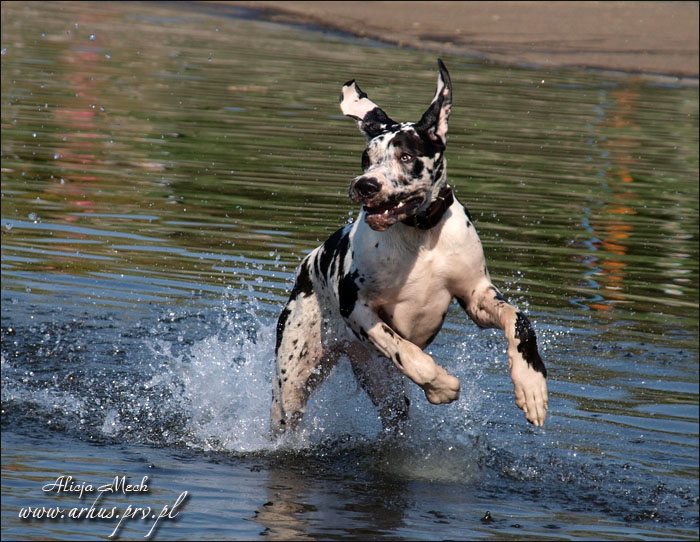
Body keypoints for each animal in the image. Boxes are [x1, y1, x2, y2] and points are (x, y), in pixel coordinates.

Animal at [271, 60, 548, 437]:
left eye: (406, 155)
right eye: (366, 157)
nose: (365, 185)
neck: (420, 238)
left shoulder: (477, 297)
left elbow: (518, 321)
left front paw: (531, 385)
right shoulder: (357, 308)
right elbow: (406, 351)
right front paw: (440, 385)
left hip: (384, 387)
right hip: (295, 381)